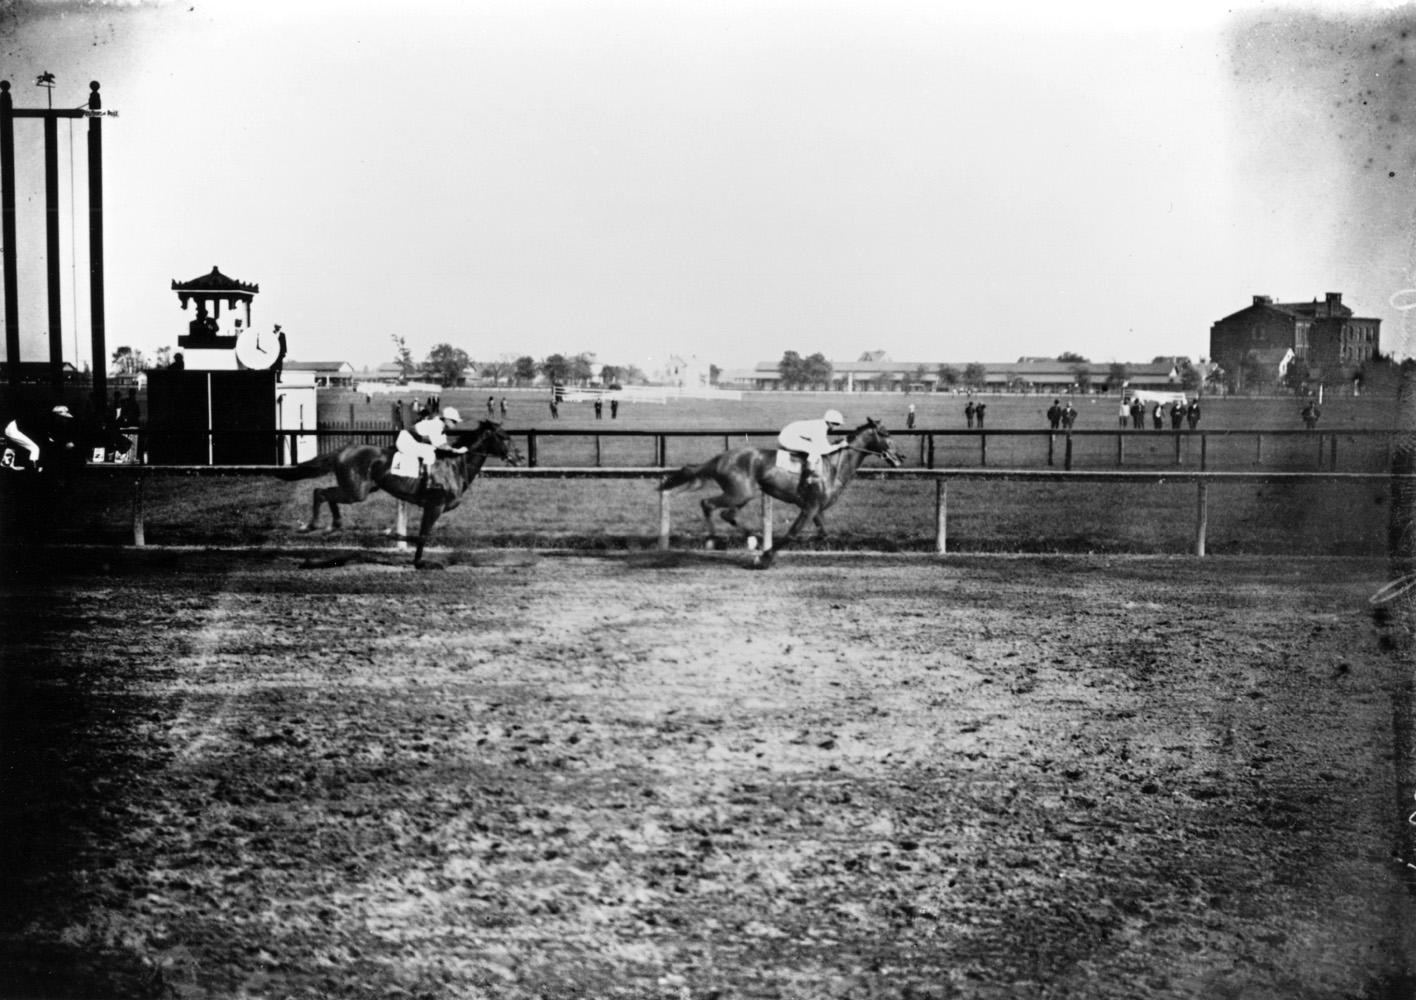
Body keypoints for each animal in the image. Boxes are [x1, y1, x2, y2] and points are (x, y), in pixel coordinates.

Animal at [273, 416, 523, 563]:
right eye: (504, 437)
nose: (519, 457)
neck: (454, 465)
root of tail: (343, 450)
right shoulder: (435, 505)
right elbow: (422, 535)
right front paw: (409, 552)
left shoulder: (432, 507)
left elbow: (421, 534)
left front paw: (407, 549)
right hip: (356, 492)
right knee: (320, 492)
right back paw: (312, 525)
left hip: (359, 489)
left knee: (325, 493)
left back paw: (332, 525)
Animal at [657, 413, 900, 569]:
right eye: (885, 433)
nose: (900, 457)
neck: (833, 466)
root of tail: (720, 457)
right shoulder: (810, 507)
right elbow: (792, 533)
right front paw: (765, 558)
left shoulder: (815, 508)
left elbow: (823, 533)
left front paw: (765, 552)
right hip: (739, 493)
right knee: (707, 504)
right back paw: (712, 540)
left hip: (744, 494)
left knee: (727, 514)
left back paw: (752, 540)